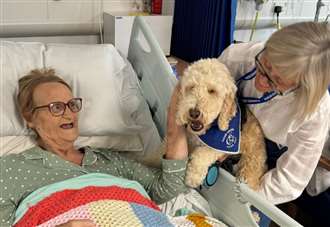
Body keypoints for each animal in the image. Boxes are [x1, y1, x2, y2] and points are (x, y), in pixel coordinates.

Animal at [177, 58, 266, 190]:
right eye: (191, 87)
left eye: (212, 91)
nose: (194, 113)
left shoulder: (224, 147)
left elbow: (202, 154)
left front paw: (192, 177)